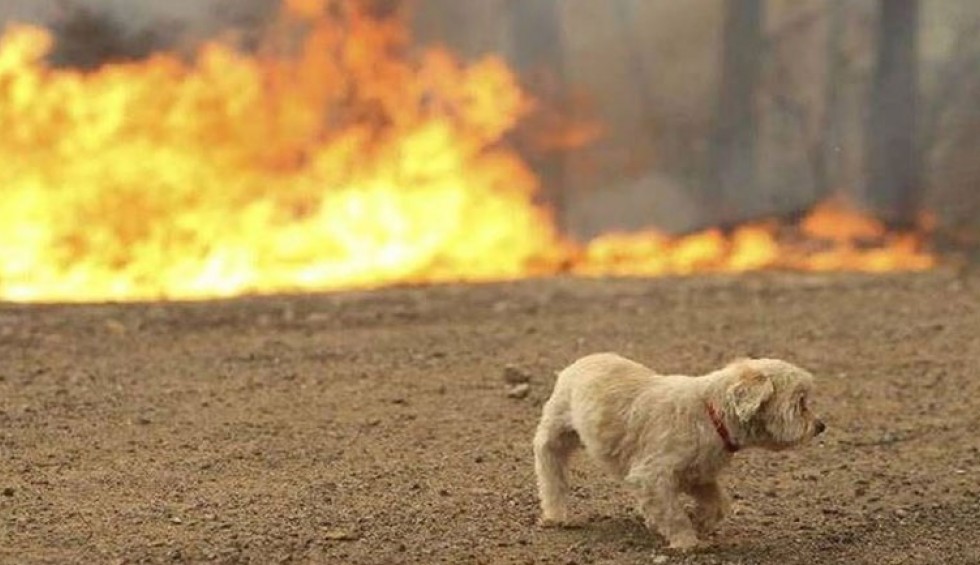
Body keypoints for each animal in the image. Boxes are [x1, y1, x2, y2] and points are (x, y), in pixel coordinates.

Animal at [532, 350, 824, 548]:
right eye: (800, 403)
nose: (821, 426)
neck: (712, 412)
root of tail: (582, 360)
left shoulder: (696, 474)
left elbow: (718, 502)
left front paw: (701, 522)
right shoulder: (653, 475)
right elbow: (672, 513)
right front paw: (687, 541)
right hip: (556, 431)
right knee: (549, 467)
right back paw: (555, 513)